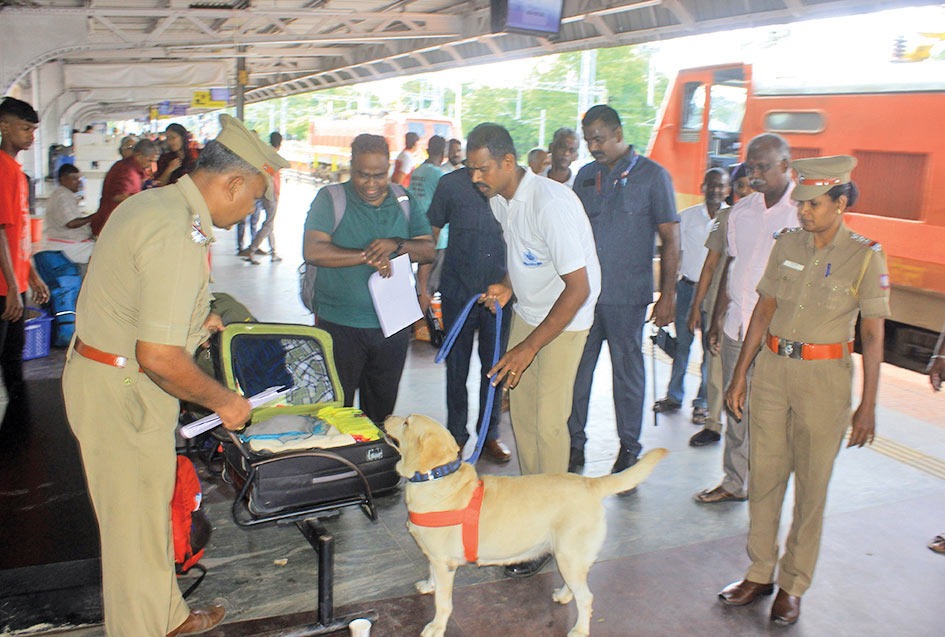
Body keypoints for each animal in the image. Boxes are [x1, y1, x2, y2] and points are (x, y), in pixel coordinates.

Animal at [382, 412, 664, 636]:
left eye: (406, 422)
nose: (386, 417)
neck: (436, 477)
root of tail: (591, 483)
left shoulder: (445, 563)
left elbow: (443, 603)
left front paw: (436, 627)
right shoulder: (434, 557)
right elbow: (430, 574)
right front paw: (428, 586)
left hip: (569, 554)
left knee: (587, 597)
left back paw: (580, 629)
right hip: (568, 555)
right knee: (576, 585)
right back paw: (564, 595)